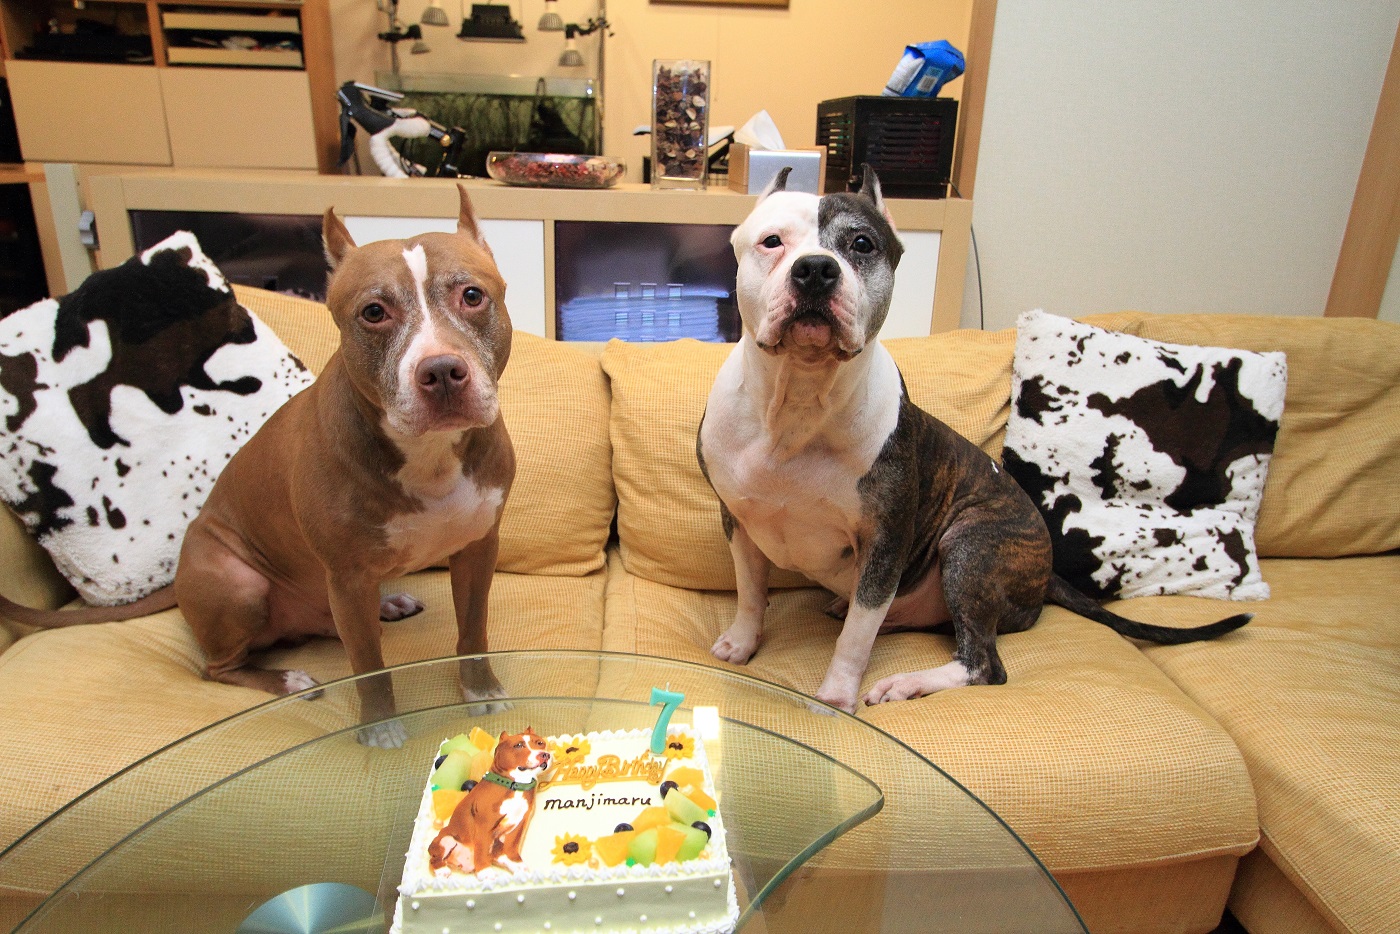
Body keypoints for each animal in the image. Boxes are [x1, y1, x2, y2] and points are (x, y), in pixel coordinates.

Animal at [172, 184, 515, 746]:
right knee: (217, 667)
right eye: (374, 311)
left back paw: (388, 605)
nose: (442, 371)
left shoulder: (477, 548)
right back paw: (289, 679)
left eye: (471, 295)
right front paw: (379, 727)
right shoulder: (348, 576)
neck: (428, 454)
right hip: (238, 585)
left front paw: (480, 689)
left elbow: (473, 628)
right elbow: (369, 664)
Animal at [429, 728, 550, 874]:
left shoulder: (519, 824)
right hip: (445, 839)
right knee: (434, 858)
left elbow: (511, 846)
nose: (544, 755)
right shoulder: (484, 824)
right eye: (518, 745)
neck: (515, 784)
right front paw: (485, 872)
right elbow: (482, 849)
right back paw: (442, 871)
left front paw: (517, 863)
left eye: (540, 743)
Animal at [696, 166, 1250, 714]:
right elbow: (751, 593)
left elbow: (855, 638)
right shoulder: (739, 522)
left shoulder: (886, 544)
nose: (815, 268)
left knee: (982, 662)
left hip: (970, 545)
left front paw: (835, 697)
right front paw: (742, 643)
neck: (800, 399)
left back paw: (907, 682)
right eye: (772, 241)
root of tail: (1047, 570)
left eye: (862, 243)